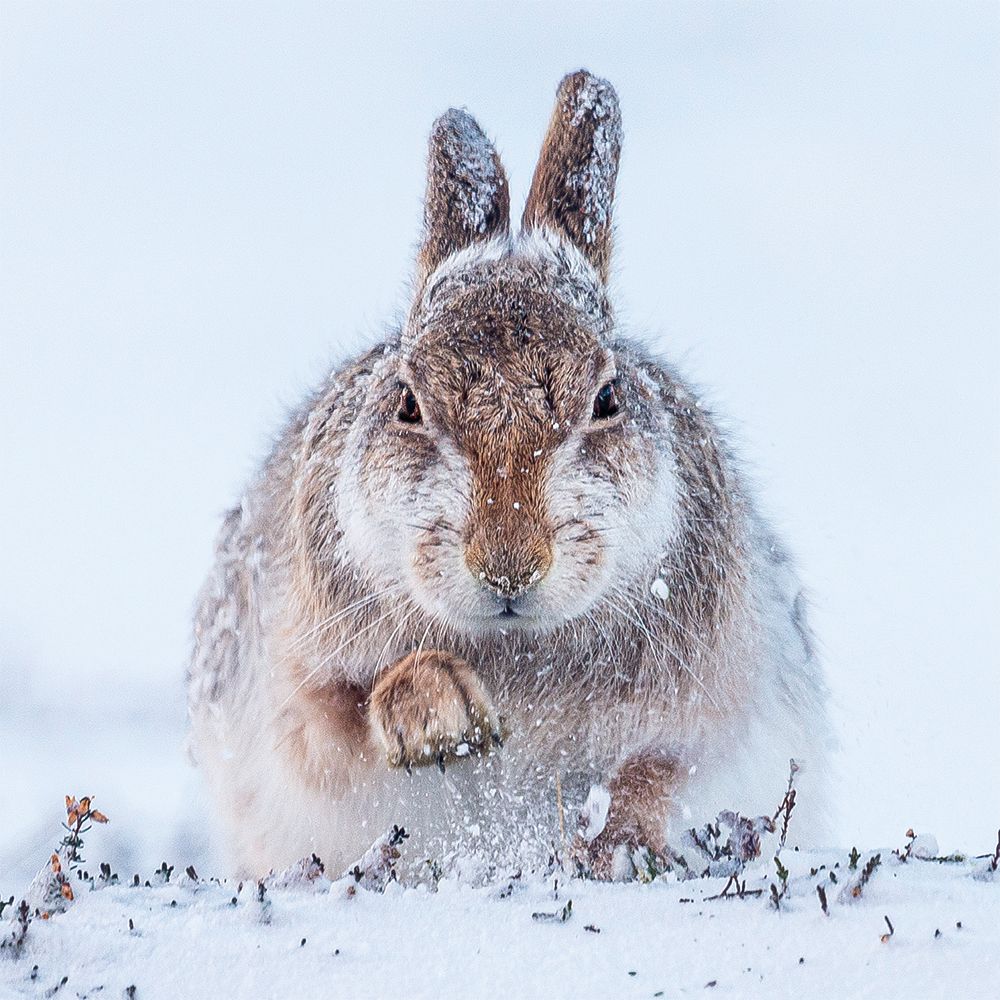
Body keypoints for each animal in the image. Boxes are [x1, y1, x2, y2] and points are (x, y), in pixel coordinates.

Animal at [186, 70, 830, 882]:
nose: (508, 567)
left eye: (608, 399)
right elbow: (348, 712)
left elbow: (658, 772)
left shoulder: (716, 716)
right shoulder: (295, 700)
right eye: (407, 403)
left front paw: (616, 846)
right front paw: (443, 717)